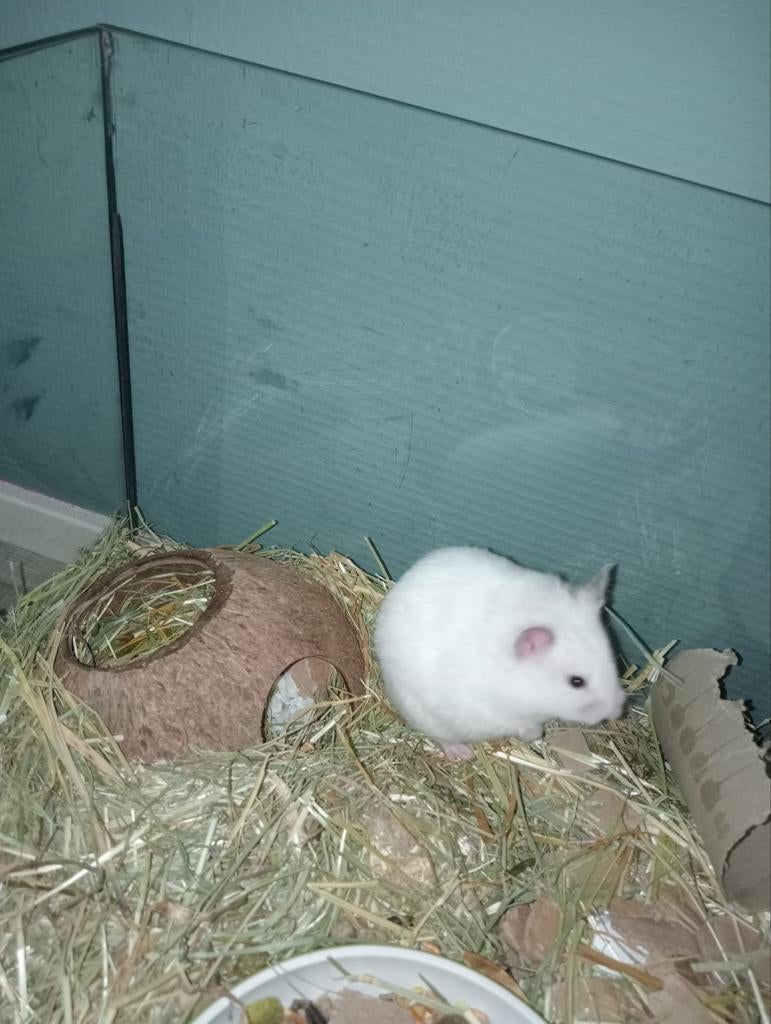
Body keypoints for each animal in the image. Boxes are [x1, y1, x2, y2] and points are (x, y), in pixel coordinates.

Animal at [373, 546, 626, 760]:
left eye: (613, 664)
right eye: (576, 682)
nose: (617, 712)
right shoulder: (493, 714)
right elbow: (524, 726)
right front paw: (536, 735)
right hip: (424, 714)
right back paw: (464, 754)